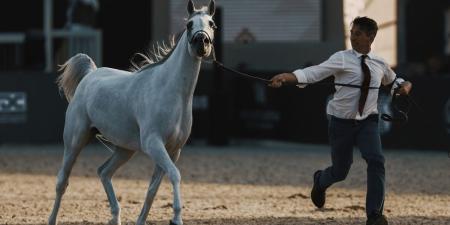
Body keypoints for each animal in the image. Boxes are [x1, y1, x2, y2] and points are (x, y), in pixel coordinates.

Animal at [48, 0, 217, 224]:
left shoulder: (173, 150)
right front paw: (176, 217)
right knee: (62, 181)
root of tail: (90, 75)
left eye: (212, 23)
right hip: (75, 141)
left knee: (104, 172)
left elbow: (152, 190)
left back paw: (115, 217)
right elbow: (175, 175)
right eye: (189, 24)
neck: (170, 91)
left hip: (124, 149)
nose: (201, 43)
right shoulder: (154, 143)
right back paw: (52, 218)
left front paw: (142, 220)